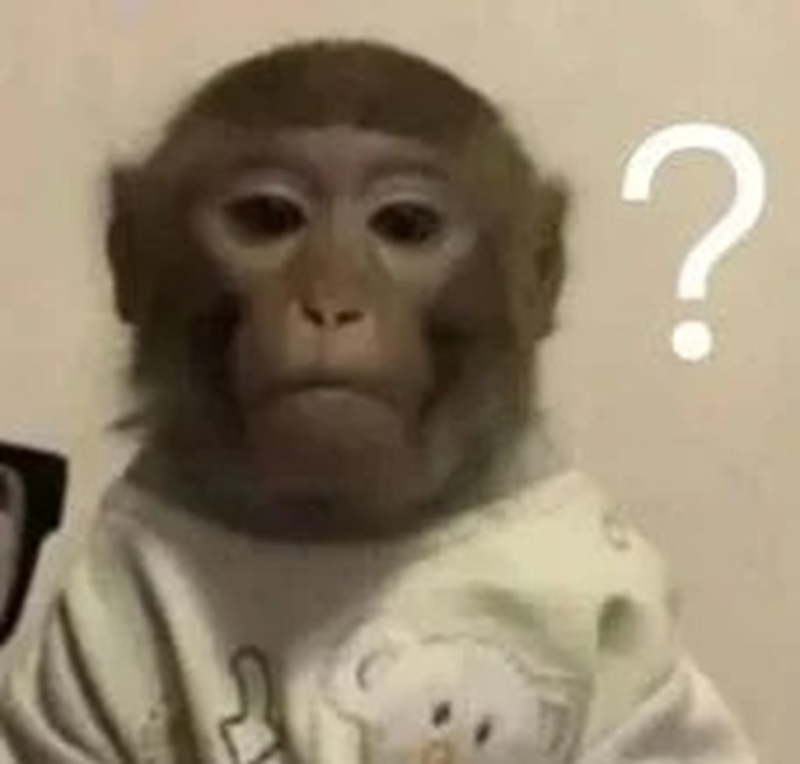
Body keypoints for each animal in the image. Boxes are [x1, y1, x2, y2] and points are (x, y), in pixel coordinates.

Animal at [0, 39, 757, 764]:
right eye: (267, 217)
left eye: (406, 224)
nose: (331, 303)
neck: (339, 524)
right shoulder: (80, 632)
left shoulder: (634, 631)